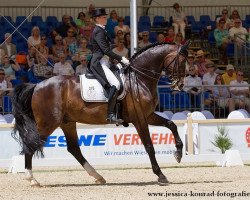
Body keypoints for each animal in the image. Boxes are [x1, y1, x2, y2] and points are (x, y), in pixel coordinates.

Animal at [11, 42, 188, 186]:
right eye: (182, 61)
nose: (179, 85)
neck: (138, 78)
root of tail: (36, 85)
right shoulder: (139, 119)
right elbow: (149, 146)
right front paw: (160, 175)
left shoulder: (148, 115)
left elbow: (171, 124)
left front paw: (178, 154)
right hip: (48, 123)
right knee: (30, 145)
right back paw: (32, 179)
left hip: (67, 122)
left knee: (74, 149)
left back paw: (98, 176)